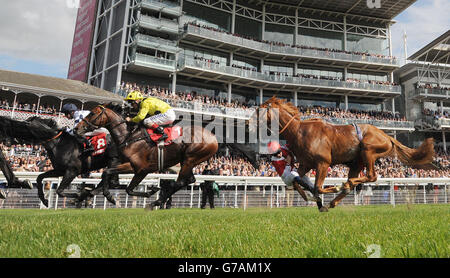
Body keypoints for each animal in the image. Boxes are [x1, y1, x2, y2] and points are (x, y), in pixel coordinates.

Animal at [74, 105, 219, 210]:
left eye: (92, 113)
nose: (76, 128)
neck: (129, 137)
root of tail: (214, 138)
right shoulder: (126, 165)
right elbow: (110, 176)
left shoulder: (139, 169)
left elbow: (125, 187)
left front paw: (109, 196)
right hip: (187, 161)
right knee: (188, 180)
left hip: (190, 158)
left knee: (179, 182)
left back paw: (155, 203)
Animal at [251, 96, 438, 212]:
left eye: (259, 110)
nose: (249, 124)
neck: (299, 131)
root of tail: (387, 136)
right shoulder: (306, 164)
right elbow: (296, 181)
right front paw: (315, 200)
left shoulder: (323, 162)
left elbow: (317, 187)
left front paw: (325, 194)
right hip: (357, 162)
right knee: (360, 179)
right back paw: (336, 198)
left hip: (368, 150)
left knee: (371, 176)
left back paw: (345, 185)